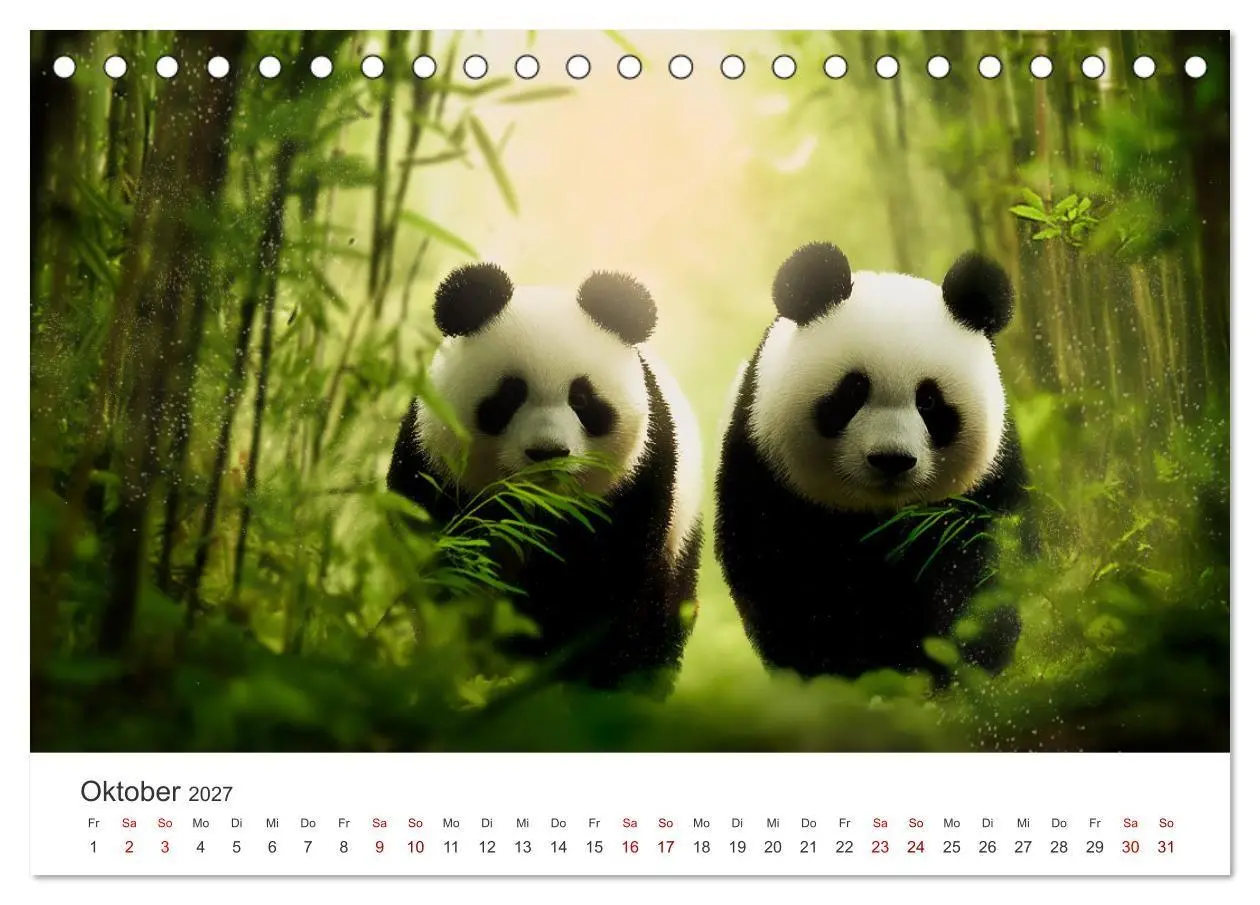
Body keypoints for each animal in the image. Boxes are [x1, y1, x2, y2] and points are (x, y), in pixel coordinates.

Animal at [387, 262, 703, 690]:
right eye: (510, 396)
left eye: (582, 399)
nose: (547, 453)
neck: (535, 507)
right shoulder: (434, 467)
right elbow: (441, 568)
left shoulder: (635, 482)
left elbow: (605, 591)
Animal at [714, 241, 1031, 684]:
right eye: (852, 392)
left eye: (929, 401)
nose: (891, 460)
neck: (878, 514)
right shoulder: (763, 469)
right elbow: (784, 580)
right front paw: (838, 674)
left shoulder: (987, 482)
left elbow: (977, 562)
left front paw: (961, 662)